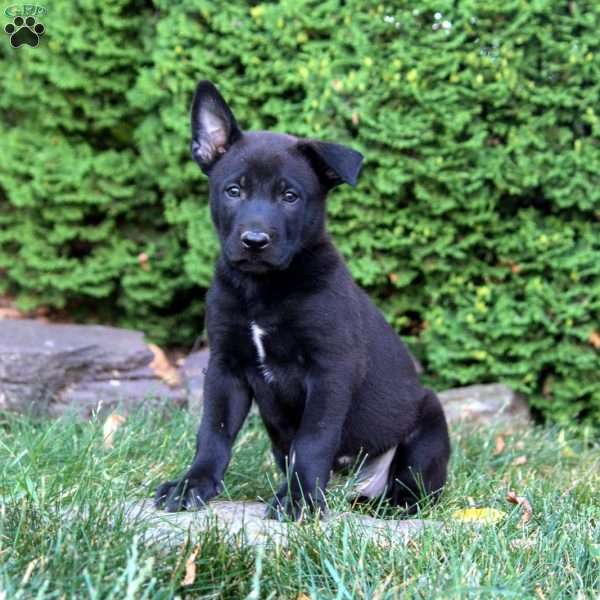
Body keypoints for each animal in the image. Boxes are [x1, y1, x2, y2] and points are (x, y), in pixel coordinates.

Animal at [155, 79, 450, 516]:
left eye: (289, 197)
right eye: (234, 191)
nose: (254, 241)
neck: (263, 289)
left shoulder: (330, 369)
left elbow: (314, 439)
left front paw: (300, 499)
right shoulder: (226, 366)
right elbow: (213, 432)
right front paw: (193, 484)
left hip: (428, 421)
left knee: (416, 484)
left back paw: (395, 501)